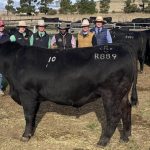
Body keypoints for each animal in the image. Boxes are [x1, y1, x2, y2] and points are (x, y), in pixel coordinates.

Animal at [0, 42, 138, 146]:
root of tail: (123, 47)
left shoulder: (27, 93)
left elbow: (28, 115)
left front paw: (25, 136)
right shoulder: (35, 97)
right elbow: (33, 115)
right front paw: (31, 133)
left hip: (110, 93)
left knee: (114, 115)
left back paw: (103, 141)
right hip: (122, 93)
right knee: (126, 109)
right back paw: (125, 137)